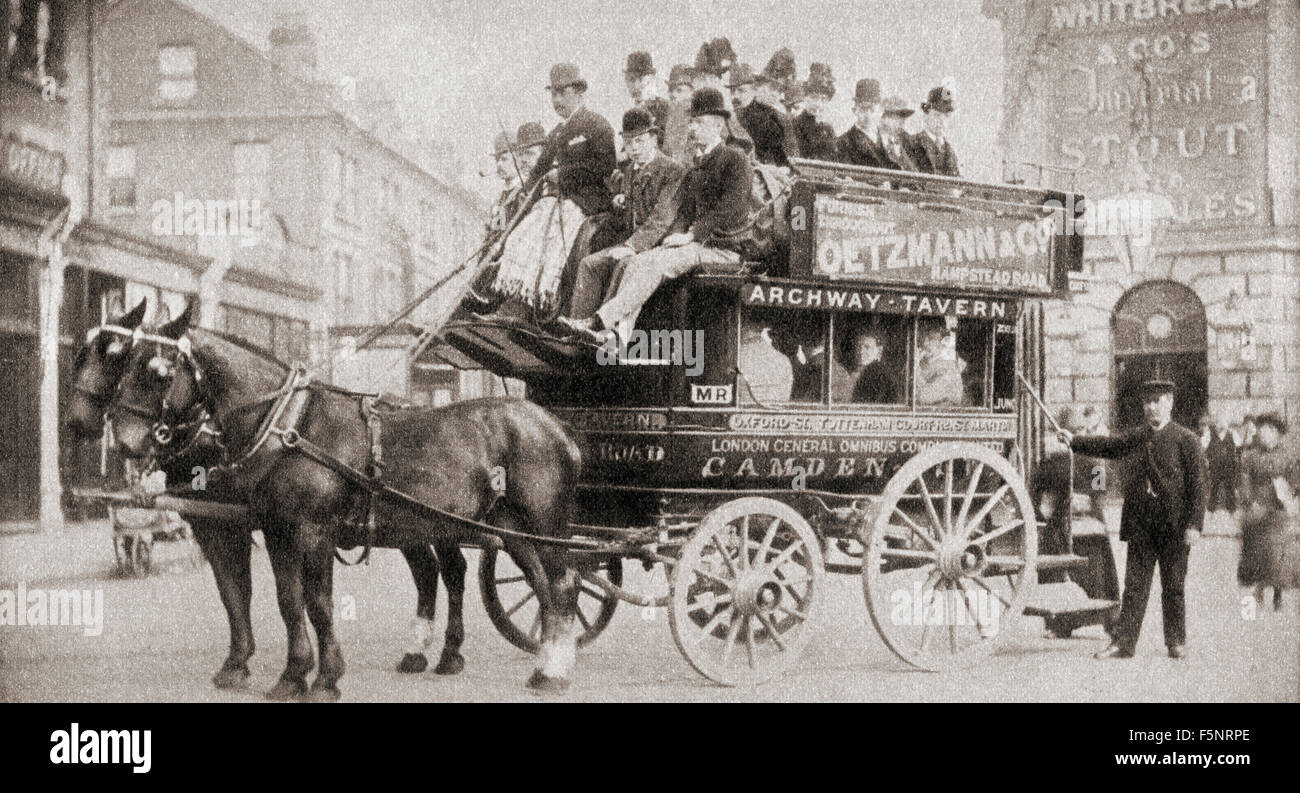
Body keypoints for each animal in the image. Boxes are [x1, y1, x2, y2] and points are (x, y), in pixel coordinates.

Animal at [62, 299, 467, 696]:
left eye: (122, 358)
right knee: (430, 571)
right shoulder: (226, 525)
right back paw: (420, 652)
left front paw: (307, 673)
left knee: (451, 571)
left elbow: (289, 597)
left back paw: (447, 653)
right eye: (84, 355)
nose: (77, 424)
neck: (280, 425)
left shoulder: (267, 527)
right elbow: (240, 593)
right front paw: (241, 664)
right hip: (408, 527)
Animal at [106, 302, 585, 691]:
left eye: (158, 371)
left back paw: (551, 673)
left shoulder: (315, 531)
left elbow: (318, 604)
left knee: (561, 583)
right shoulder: (278, 531)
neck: (291, 427)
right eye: (124, 364)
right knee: (533, 583)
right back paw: (527, 660)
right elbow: (288, 601)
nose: (124, 440)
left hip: (542, 522)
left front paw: (325, 679)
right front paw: (292, 676)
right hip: (504, 526)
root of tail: (556, 426)